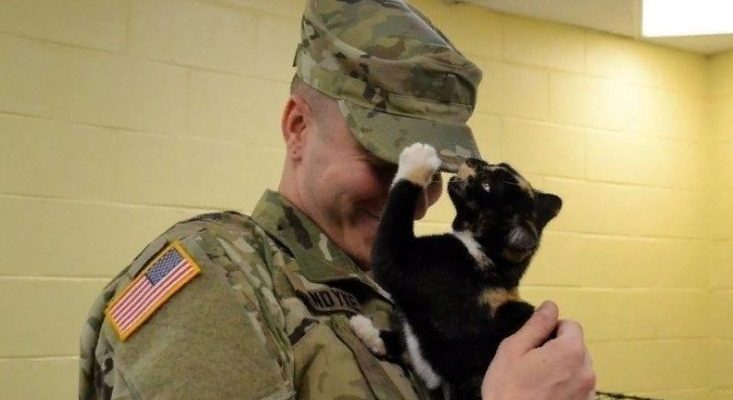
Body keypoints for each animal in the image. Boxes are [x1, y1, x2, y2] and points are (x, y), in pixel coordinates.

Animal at [348, 142, 560, 398]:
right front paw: (367, 330)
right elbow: (404, 342)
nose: (475, 161)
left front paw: (418, 160)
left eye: (486, 186)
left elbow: (397, 210)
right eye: (495, 166)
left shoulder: (406, 261)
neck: (487, 257)